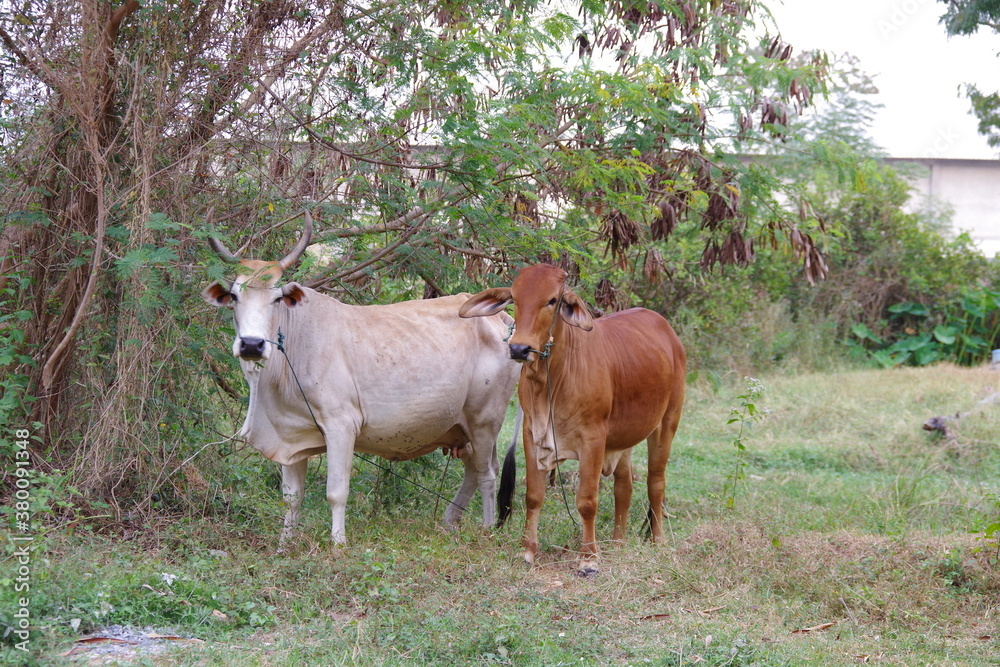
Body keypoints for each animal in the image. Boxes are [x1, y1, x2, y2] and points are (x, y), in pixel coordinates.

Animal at [200, 214, 520, 548]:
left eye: (277, 298)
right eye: (234, 296)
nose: (251, 344)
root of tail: (502, 319)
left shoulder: (341, 426)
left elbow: (336, 493)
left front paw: (338, 545)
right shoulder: (291, 434)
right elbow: (292, 498)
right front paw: (284, 546)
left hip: (485, 420)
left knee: (487, 473)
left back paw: (486, 529)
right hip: (462, 425)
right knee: (473, 468)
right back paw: (449, 521)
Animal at [458, 264, 684, 576]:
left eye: (553, 300)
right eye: (515, 298)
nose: (519, 349)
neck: (551, 381)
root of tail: (667, 330)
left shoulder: (593, 439)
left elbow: (587, 501)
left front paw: (588, 559)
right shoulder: (531, 434)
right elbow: (533, 495)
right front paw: (528, 551)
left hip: (667, 424)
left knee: (656, 482)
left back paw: (658, 541)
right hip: (623, 438)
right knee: (624, 486)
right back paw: (618, 542)